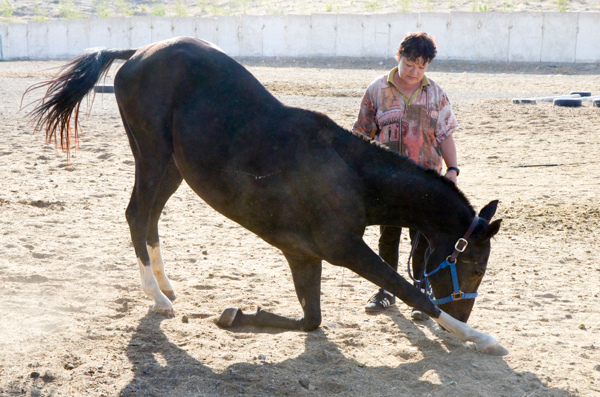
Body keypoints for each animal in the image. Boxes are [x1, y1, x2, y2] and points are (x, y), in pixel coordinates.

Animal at [27, 36, 506, 352]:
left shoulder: (304, 254)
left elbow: (312, 320)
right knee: (135, 214)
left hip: (172, 169)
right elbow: (408, 291)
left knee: (150, 217)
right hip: (152, 156)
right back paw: (157, 298)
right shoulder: (343, 248)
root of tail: (136, 54)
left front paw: (240, 317)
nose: (463, 314)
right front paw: (481, 338)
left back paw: (166, 286)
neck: (352, 175)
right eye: (475, 267)